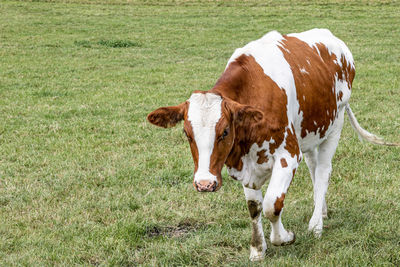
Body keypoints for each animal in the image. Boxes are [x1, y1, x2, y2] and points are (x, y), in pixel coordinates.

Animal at [147, 29, 400, 262]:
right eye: (186, 133)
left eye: (225, 131)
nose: (204, 183)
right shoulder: (246, 165)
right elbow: (254, 207)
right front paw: (258, 249)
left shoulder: (288, 155)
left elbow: (272, 204)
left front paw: (284, 237)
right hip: (310, 132)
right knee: (314, 168)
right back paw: (322, 210)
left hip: (334, 125)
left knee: (323, 172)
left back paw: (316, 224)